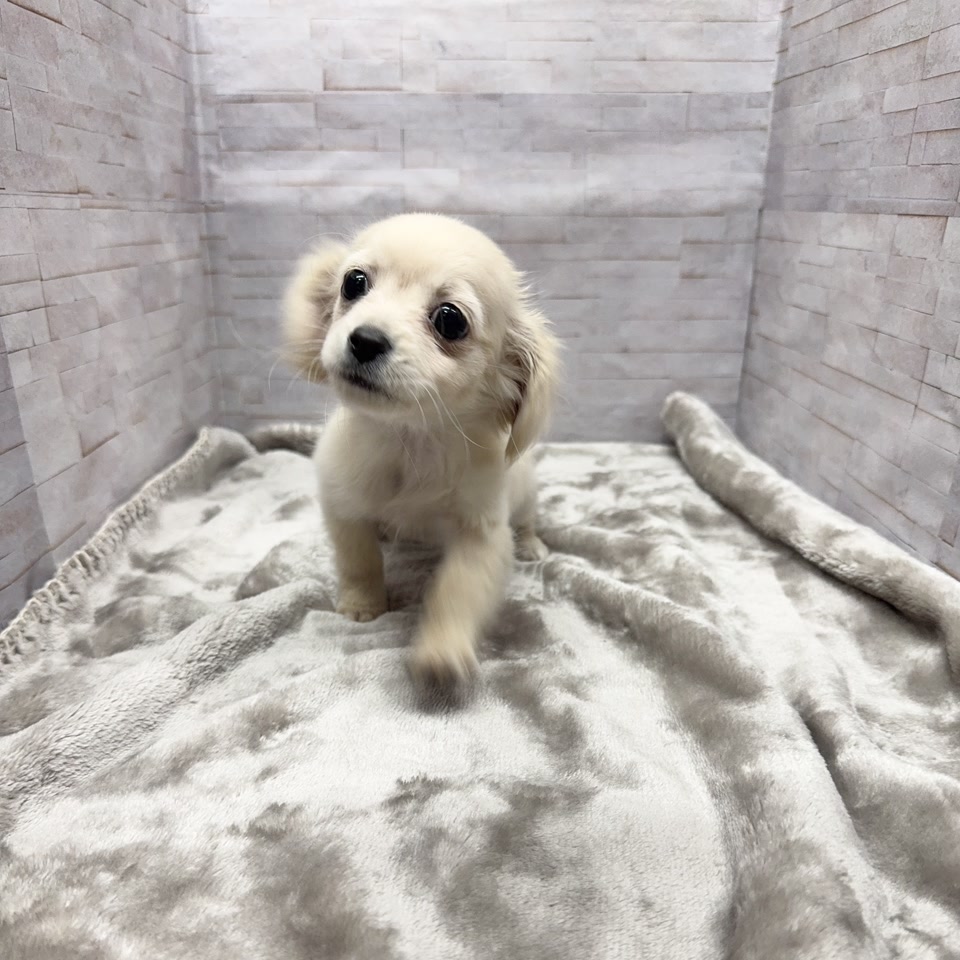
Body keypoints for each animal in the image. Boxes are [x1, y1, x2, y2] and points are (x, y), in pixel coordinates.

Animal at [283, 213, 559, 687]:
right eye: (353, 283)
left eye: (449, 320)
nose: (365, 339)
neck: (409, 441)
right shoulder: (343, 505)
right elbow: (359, 561)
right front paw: (363, 605)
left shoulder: (481, 536)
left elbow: (456, 591)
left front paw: (441, 650)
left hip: (524, 495)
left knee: (525, 522)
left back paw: (531, 544)